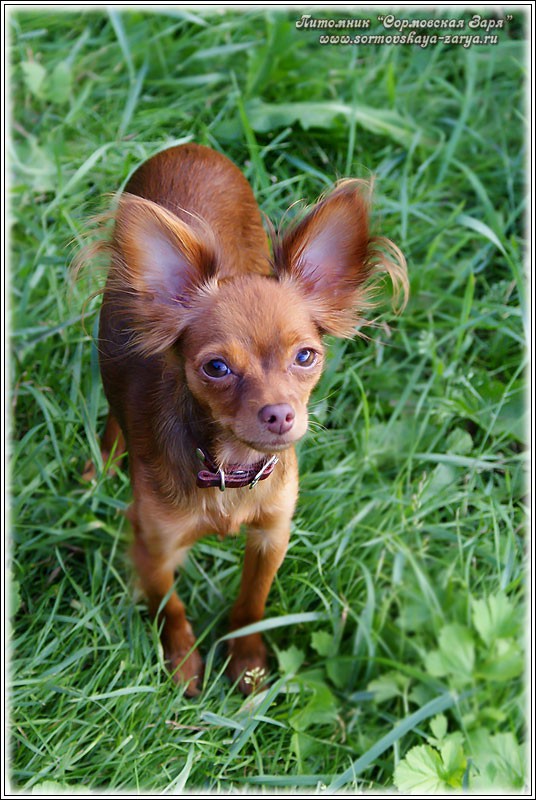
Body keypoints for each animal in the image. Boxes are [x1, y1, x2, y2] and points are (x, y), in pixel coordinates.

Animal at [82, 143, 407, 695]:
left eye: (306, 356)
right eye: (216, 368)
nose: (279, 413)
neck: (231, 468)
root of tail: (188, 148)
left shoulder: (272, 534)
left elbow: (252, 605)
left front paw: (248, 664)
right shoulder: (154, 546)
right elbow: (170, 608)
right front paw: (184, 666)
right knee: (111, 414)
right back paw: (99, 467)